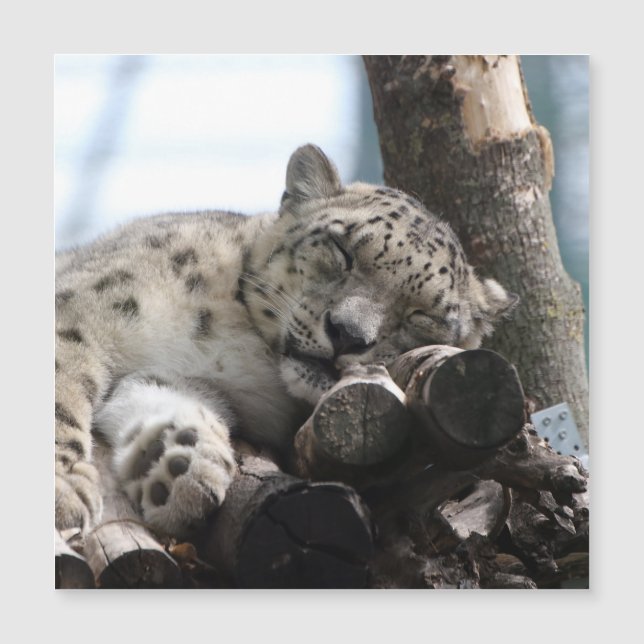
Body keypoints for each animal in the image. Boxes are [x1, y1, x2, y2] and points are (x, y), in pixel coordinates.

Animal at [55, 144, 518, 538]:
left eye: (422, 315)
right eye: (342, 250)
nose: (348, 334)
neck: (234, 345)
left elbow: (162, 395)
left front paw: (177, 465)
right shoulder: (82, 311)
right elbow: (62, 388)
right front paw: (64, 494)